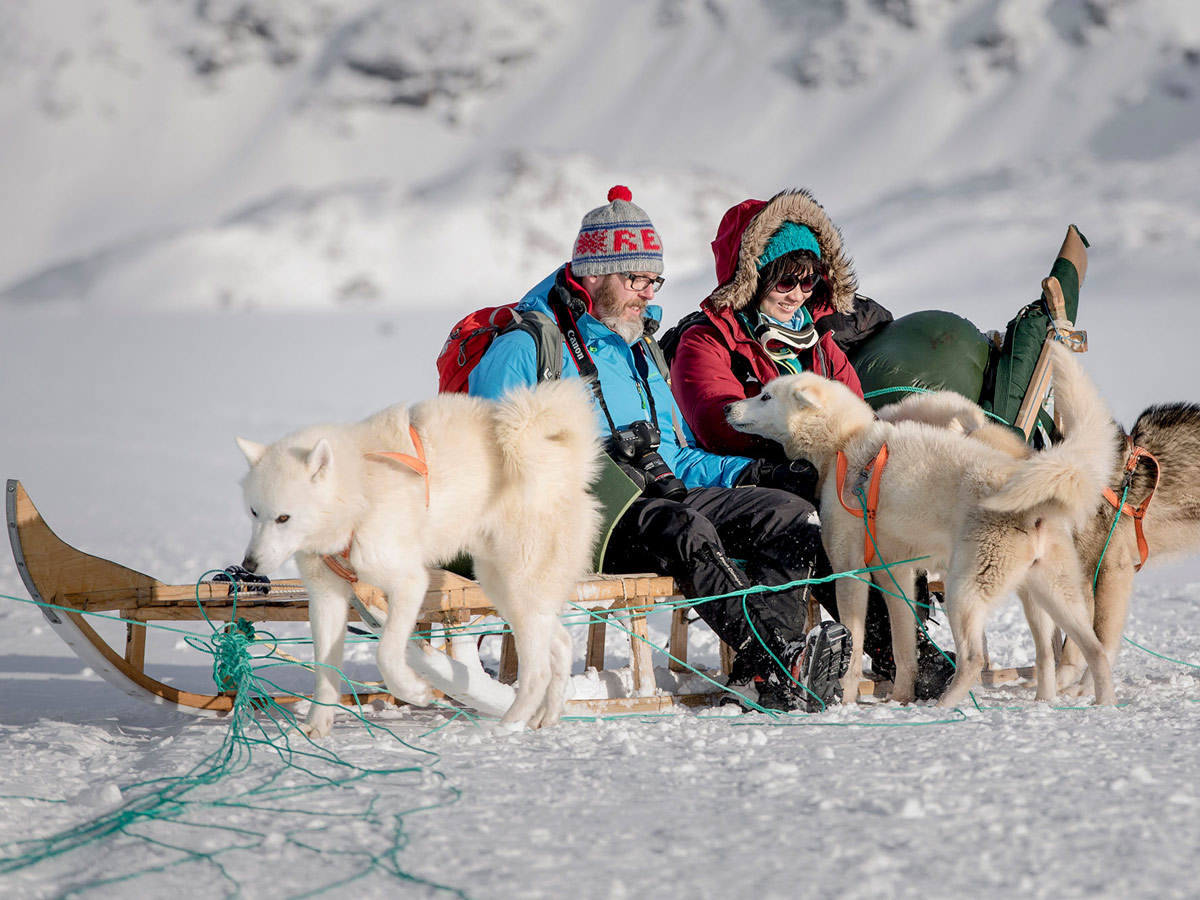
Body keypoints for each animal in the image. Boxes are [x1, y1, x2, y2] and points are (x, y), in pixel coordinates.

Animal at [236, 381, 600, 739]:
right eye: (253, 512)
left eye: (283, 517)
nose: (249, 566)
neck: (360, 493)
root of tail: (565, 460)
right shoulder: (327, 596)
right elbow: (325, 667)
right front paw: (316, 725)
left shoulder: (408, 582)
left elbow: (386, 650)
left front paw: (414, 691)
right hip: (504, 588)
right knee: (561, 642)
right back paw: (547, 716)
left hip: (519, 585)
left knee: (537, 671)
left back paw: (508, 725)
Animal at [724, 340, 1118, 710]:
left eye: (765, 395)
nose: (727, 407)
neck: (843, 445)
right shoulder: (894, 575)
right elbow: (904, 648)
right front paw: (901, 697)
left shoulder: (850, 571)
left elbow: (855, 646)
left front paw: (847, 699)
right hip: (1050, 593)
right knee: (1089, 650)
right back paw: (1093, 704)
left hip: (965, 592)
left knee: (974, 659)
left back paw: (944, 706)